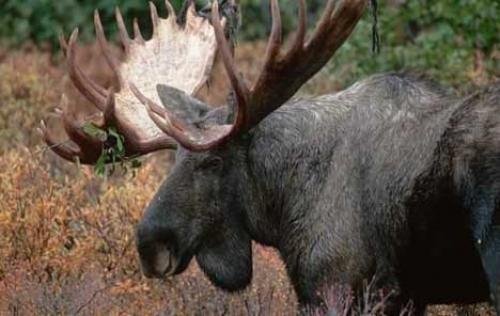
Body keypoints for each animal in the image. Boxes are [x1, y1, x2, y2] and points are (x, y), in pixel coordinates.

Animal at [40, 0, 500, 314]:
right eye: (173, 160)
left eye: (213, 162)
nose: (149, 247)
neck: (283, 206)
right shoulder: (405, 297)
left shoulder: (335, 283)